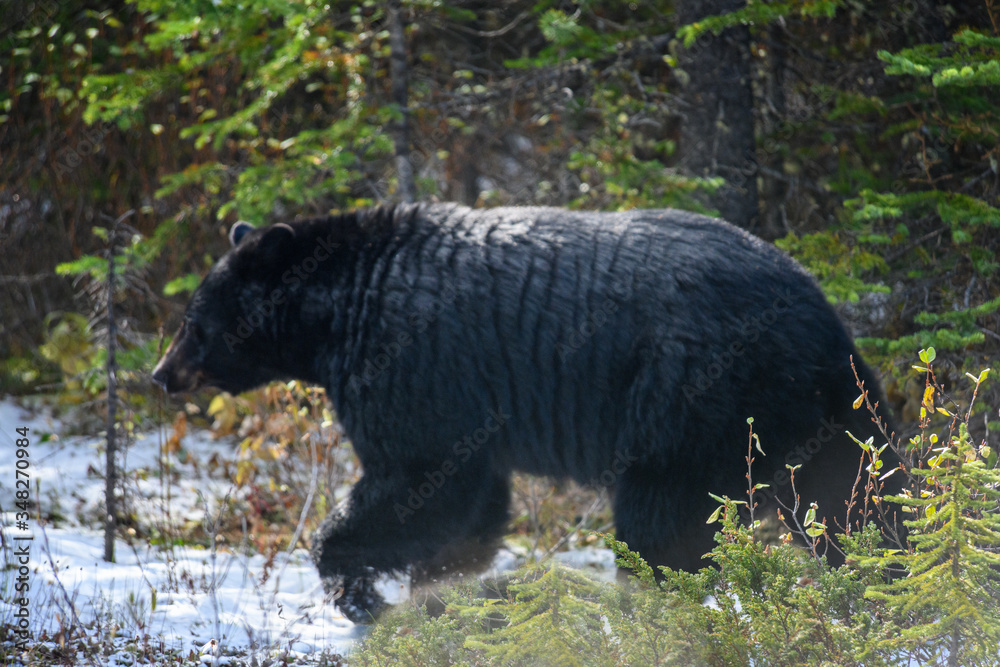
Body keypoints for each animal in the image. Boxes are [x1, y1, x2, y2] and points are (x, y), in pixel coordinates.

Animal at [152, 203, 901, 623]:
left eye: (193, 321)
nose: (160, 374)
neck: (338, 312)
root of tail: (824, 325)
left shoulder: (411, 370)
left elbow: (415, 483)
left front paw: (358, 586)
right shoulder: (468, 413)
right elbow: (469, 504)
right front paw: (443, 585)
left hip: (692, 404)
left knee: (662, 526)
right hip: (827, 419)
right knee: (858, 501)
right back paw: (885, 589)